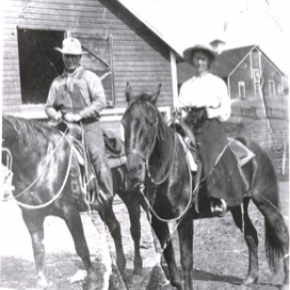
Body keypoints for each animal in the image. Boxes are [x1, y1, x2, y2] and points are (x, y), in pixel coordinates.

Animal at [1, 115, 144, 290]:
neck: (40, 161)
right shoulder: (30, 216)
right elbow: (38, 249)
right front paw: (42, 282)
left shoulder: (70, 212)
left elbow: (81, 246)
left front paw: (92, 279)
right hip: (105, 204)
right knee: (115, 227)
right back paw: (121, 265)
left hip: (131, 195)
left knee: (135, 229)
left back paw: (137, 269)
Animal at [122, 84, 290, 290]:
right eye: (123, 122)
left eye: (150, 122)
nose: (133, 168)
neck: (170, 168)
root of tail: (259, 150)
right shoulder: (158, 221)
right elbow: (169, 254)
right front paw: (176, 282)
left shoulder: (184, 219)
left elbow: (186, 259)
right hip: (238, 207)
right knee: (251, 235)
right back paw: (250, 278)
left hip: (266, 202)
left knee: (281, 233)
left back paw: (284, 281)